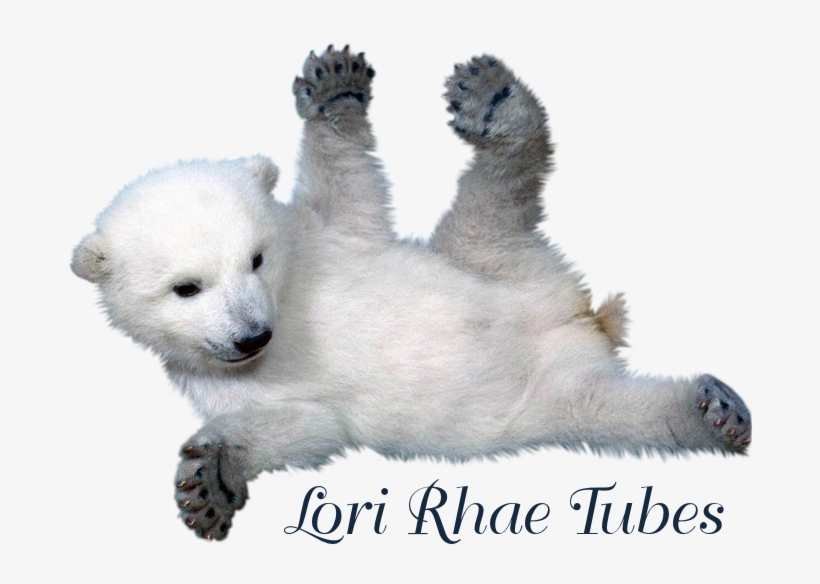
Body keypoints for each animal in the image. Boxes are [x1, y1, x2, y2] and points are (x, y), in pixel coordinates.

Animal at [72, 46, 751, 540]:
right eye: (185, 288)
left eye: (257, 258)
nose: (253, 336)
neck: (288, 304)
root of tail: (577, 319)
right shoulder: (218, 376)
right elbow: (304, 426)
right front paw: (211, 479)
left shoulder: (328, 242)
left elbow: (351, 190)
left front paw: (335, 87)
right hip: (552, 385)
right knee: (621, 414)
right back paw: (713, 412)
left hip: (487, 262)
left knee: (492, 200)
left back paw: (496, 101)